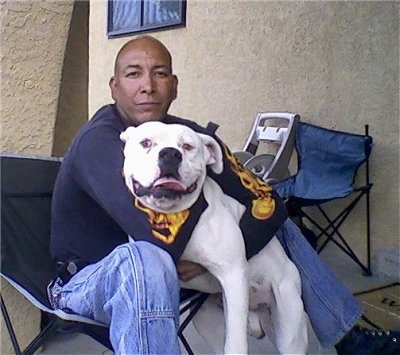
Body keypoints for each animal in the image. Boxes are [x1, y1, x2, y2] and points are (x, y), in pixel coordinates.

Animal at [120, 121, 308, 354]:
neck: (176, 216)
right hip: (210, 319)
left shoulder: (233, 275)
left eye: (188, 146)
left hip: (289, 328)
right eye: (146, 142)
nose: (170, 153)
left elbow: (236, 343)